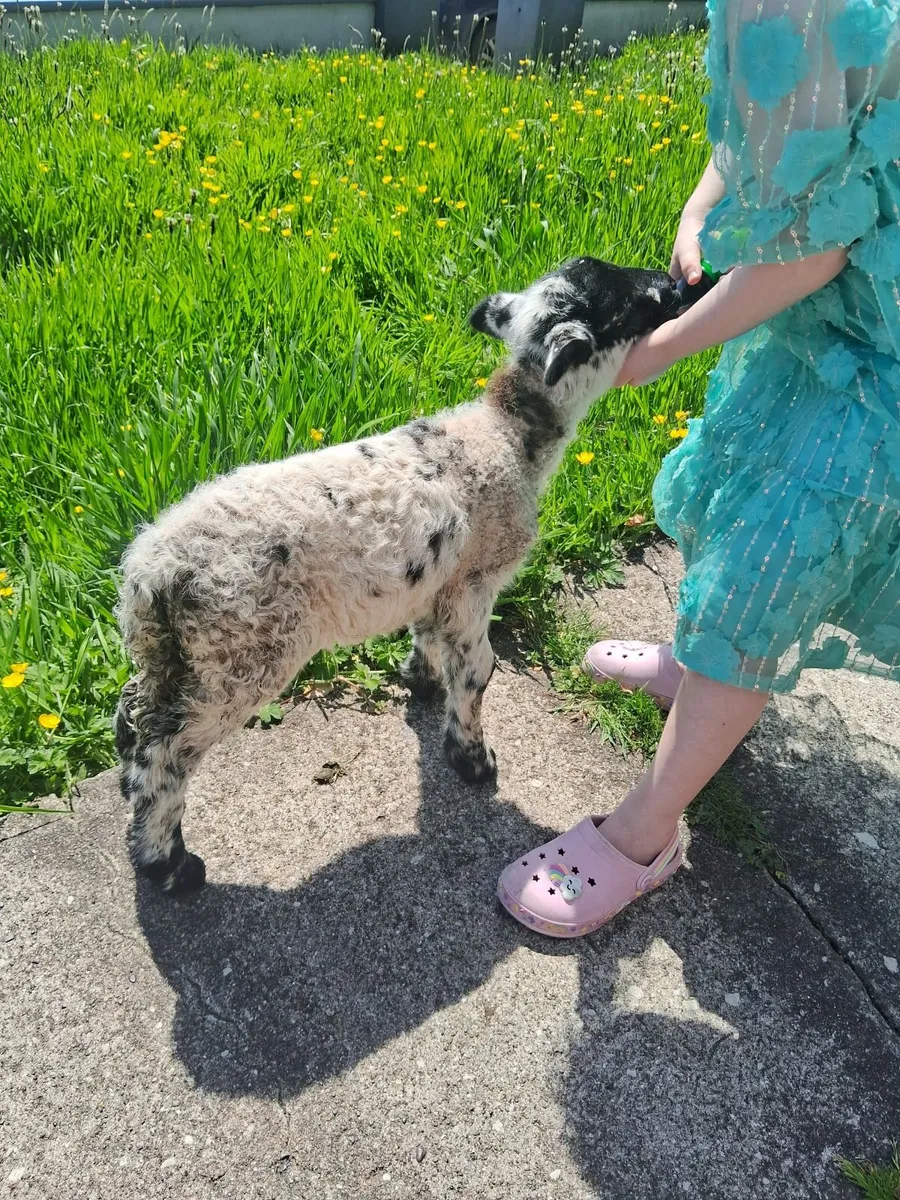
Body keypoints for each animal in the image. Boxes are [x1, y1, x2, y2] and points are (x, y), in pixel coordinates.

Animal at [115, 255, 680, 895]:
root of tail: (150, 574)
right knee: (167, 754)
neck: (507, 432)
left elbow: (429, 635)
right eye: (626, 304)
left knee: (136, 717)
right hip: (239, 652)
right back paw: (169, 865)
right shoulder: (476, 581)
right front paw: (473, 762)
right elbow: (477, 671)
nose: (678, 285)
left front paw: (421, 679)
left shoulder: (440, 581)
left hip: (174, 653)